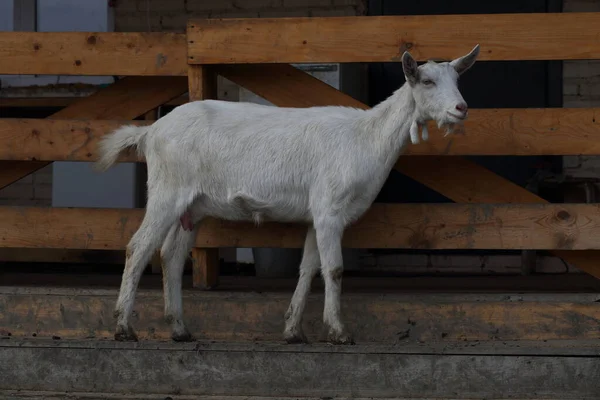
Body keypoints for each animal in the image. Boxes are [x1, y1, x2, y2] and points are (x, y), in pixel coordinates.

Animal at [95, 43, 478, 344]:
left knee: (171, 255)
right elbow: (334, 268)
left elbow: (308, 268)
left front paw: (294, 331)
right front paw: (338, 331)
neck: (366, 138)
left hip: (193, 206)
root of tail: (151, 131)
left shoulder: (317, 214)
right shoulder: (330, 209)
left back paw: (179, 329)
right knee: (138, 247)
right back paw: (124, 328)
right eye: (427, 81)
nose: (461, 108)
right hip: (167, 190)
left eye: (458, 80)